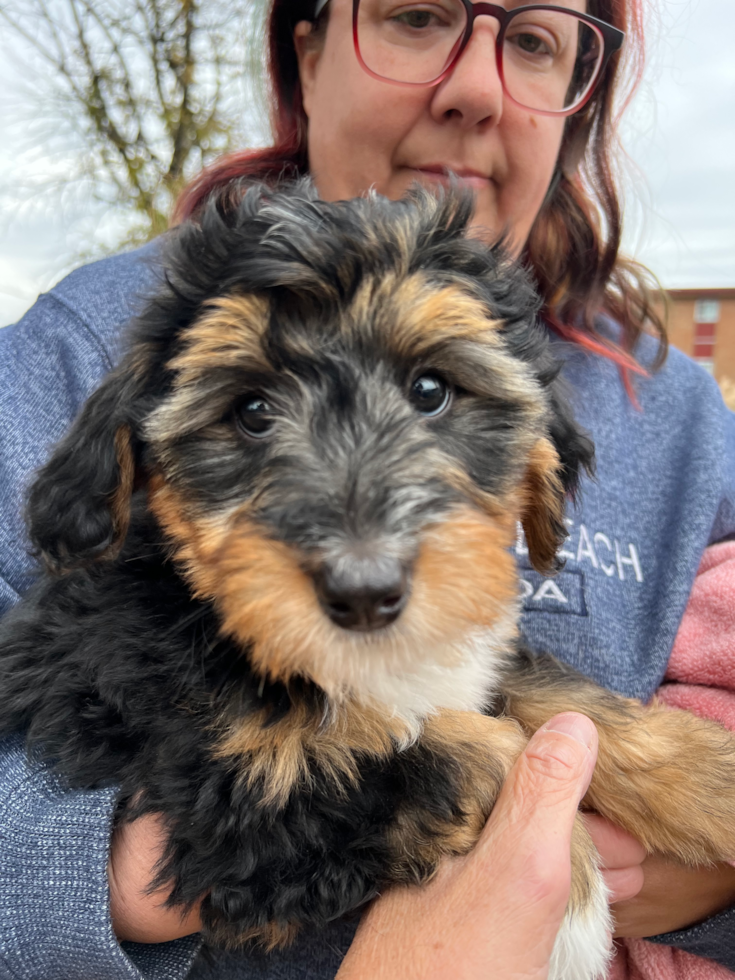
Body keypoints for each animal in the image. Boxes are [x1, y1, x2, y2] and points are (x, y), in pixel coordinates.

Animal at [1, 186, 735, 980]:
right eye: (251, 411)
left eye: (430, 390)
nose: (363, 590)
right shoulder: (240, 800)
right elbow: (461, 748)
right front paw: (570, 908)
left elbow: (561, 697)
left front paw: (713, 781)